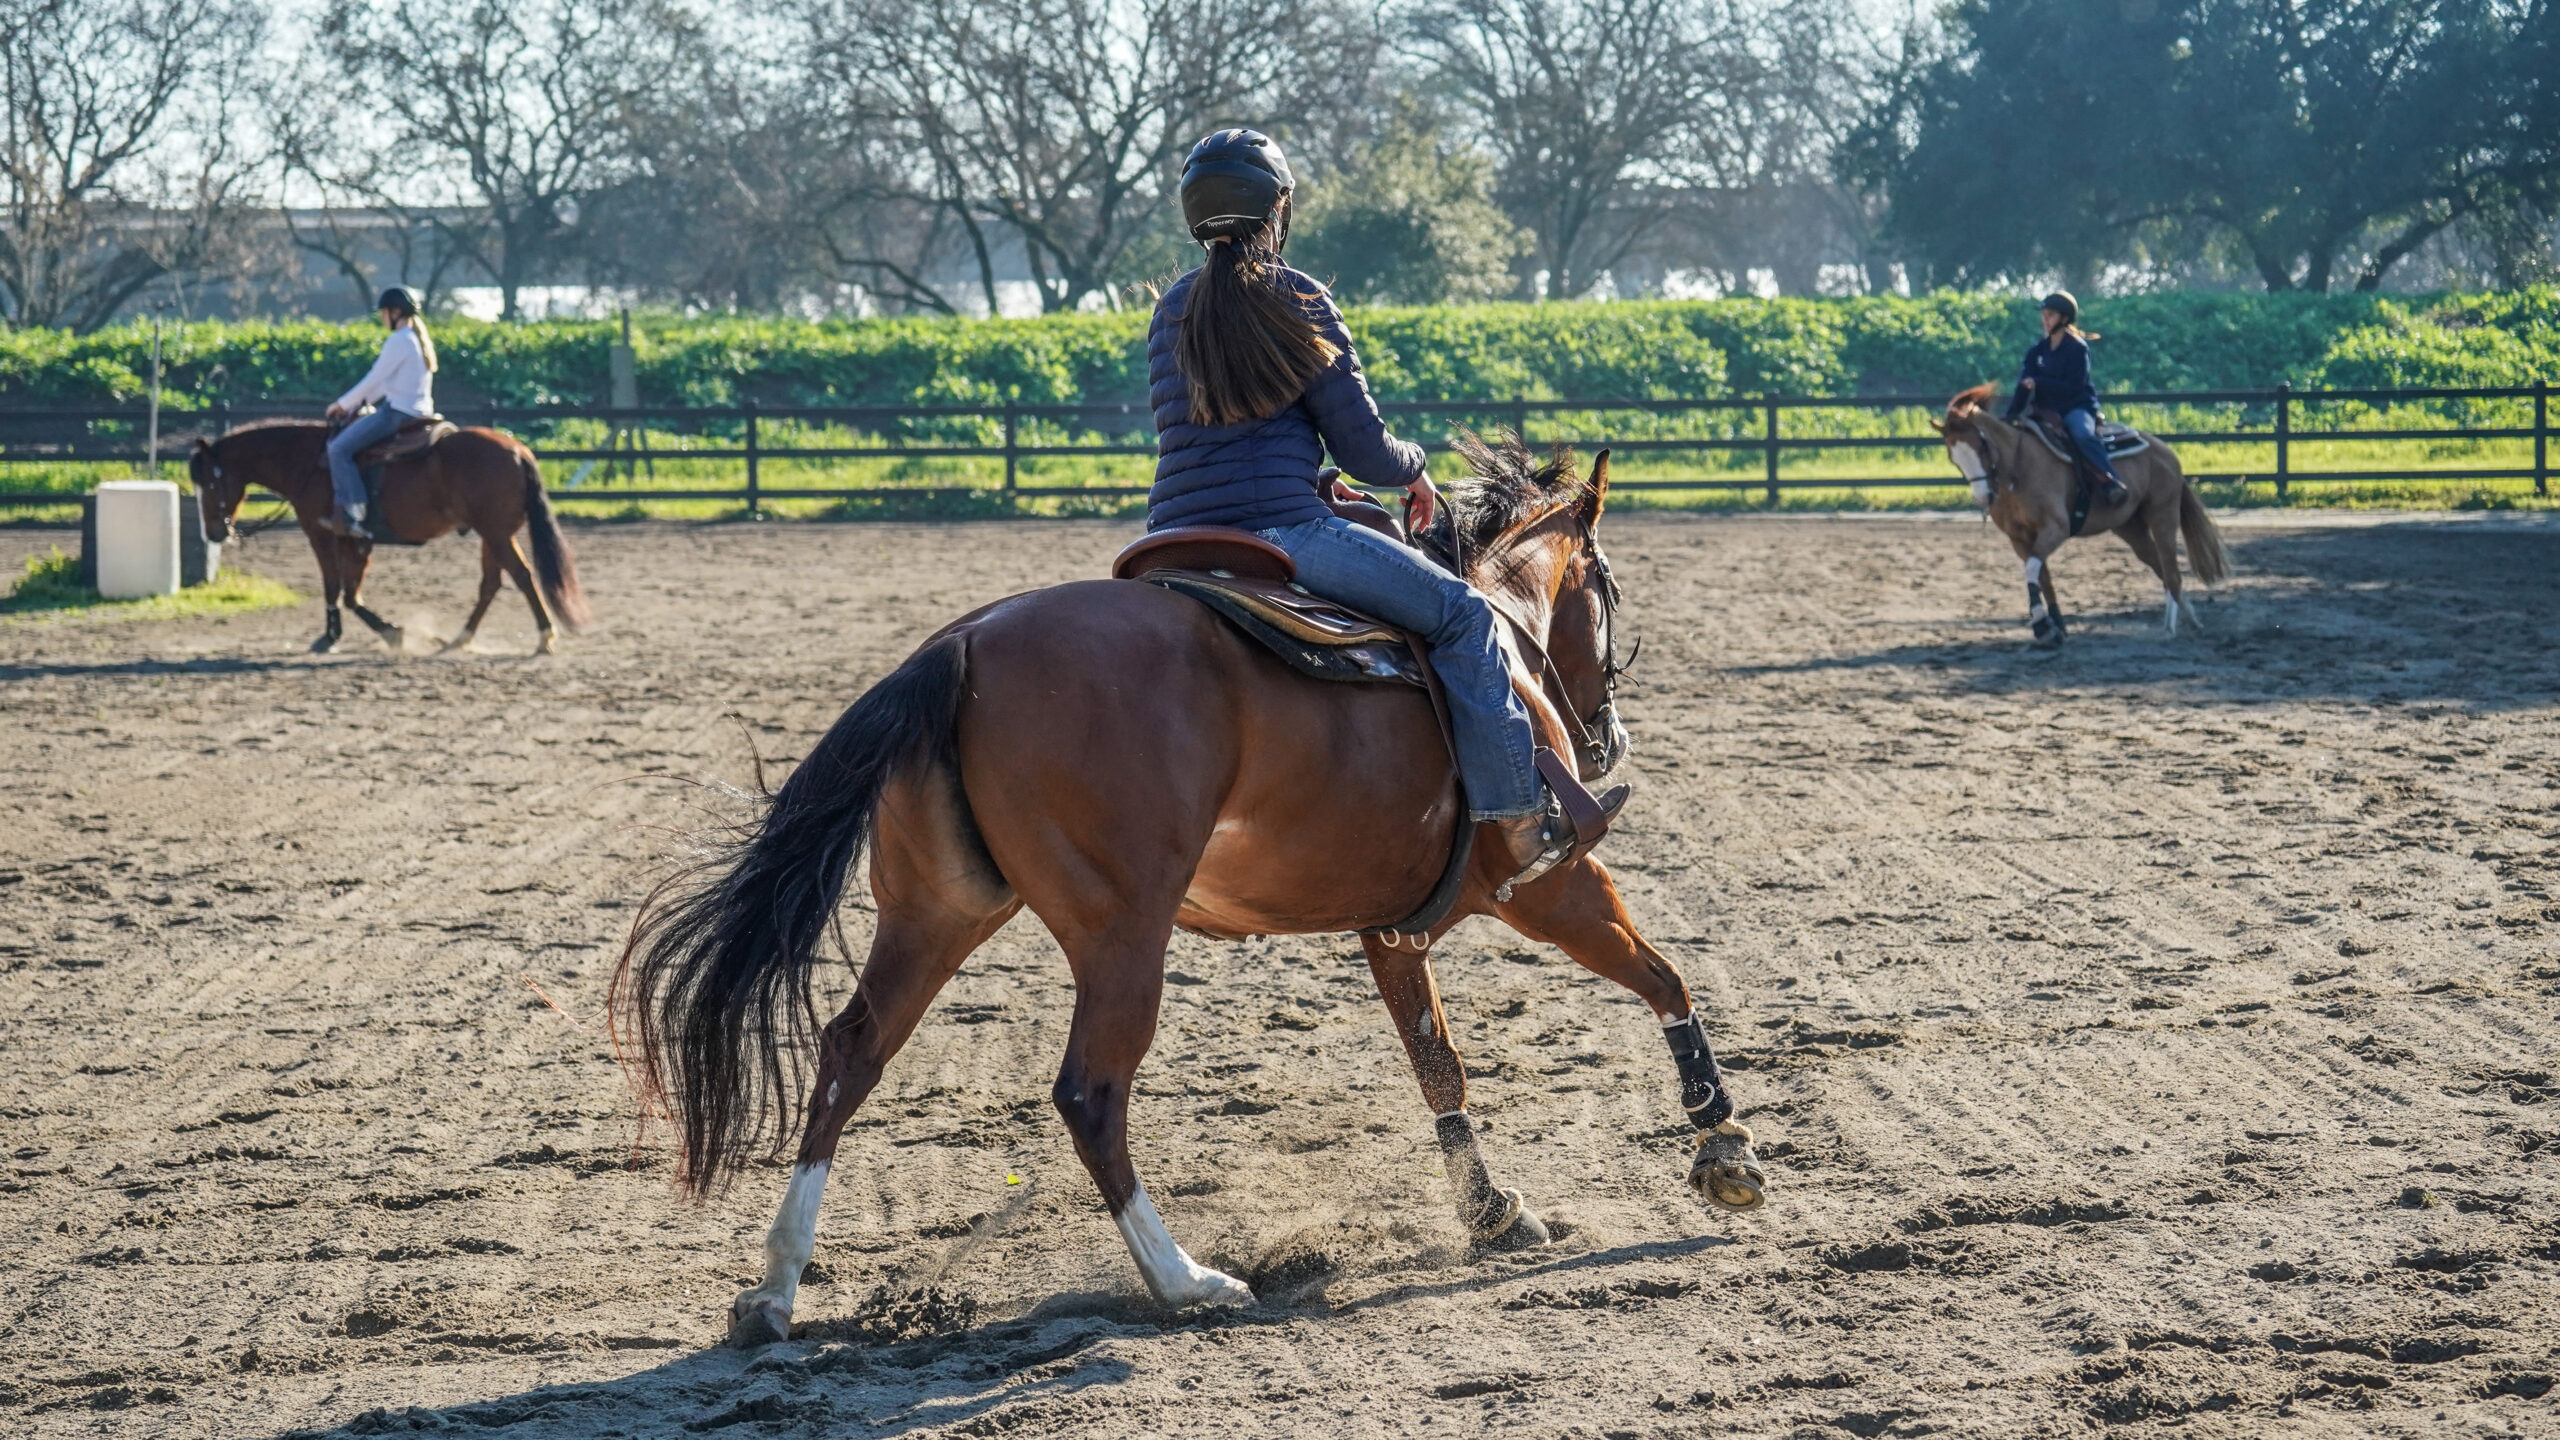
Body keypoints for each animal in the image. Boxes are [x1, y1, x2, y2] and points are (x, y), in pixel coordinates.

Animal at [187, 420, 590, 655]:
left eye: (209, 481)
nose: (214, 532)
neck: (308, 461)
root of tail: (518, 450)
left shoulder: (321, 534)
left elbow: (335, 588)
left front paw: (337, 636)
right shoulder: (355, 541)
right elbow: (351, 593)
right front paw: (387, 632)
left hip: (495, 533)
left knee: (520, 576)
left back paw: (544, 636)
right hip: (493, 535)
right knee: (491, 583)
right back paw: (459, 639)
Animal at [613, 433, 1769, 1344]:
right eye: (1605, 588)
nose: (1605, 734)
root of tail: (964, 646)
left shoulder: (1391, 933)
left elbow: (1437, 1065)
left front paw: (1489, 1211)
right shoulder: (1553, 881)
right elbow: (1662, 977)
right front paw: (1722, 1147)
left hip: (937, 913)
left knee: (851, 1052)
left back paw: (772, 1292)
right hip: (1122, 933)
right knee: (1089, 1092)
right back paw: (1187, 1283)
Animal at [1932, 384, 2229, 644]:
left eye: (1981, 446)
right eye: (1953, 457)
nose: (1984, 497)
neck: (2020, 469)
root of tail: (2166, 451)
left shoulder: (2056, 528)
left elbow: (2033, 569)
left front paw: (2041, 625)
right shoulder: (2019, 538)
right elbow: (2043, 577)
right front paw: (2056, 627)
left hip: (2162, 516)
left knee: (2170, 568)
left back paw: (2170, 627)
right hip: (2130, 528)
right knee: (2161, 567)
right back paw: (2190, 618)